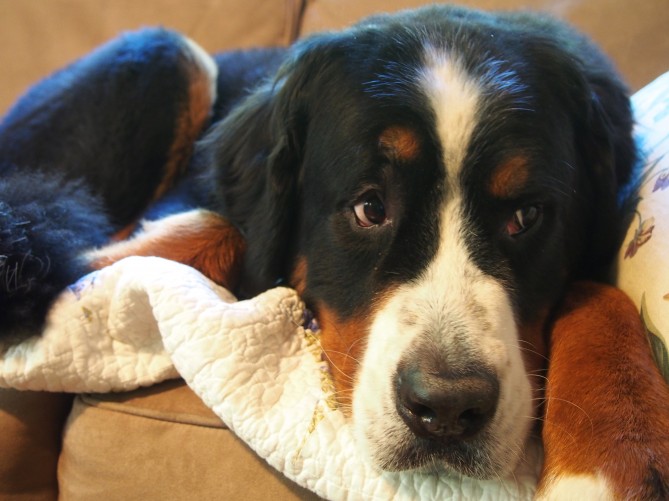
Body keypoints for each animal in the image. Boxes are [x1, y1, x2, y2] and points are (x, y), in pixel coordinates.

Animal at [0, 4, 664, 500]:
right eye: (370, 208)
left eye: (526, 217)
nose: (447, 406)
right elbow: (206, 230)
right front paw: (85, 279)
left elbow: (599, 293)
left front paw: (613, 457)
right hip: (167, 55)